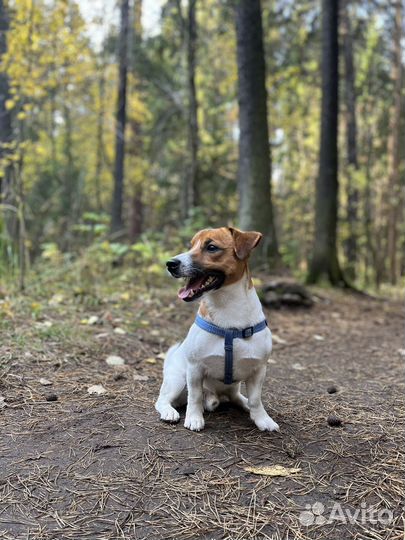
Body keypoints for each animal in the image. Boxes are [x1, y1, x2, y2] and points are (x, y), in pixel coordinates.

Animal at [154, 228, 278, 434]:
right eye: (191, 246)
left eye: (211, 247)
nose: (170, 263)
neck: (229, 314)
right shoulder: (195, 369)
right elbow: (194, 397)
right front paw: (194, 418)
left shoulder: (259, 370)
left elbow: (255, 399)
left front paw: (262, 419)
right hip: (178, 380)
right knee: (163, 400)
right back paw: (169, 412)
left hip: (233, 386)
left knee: (235, 397)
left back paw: (241, 403)